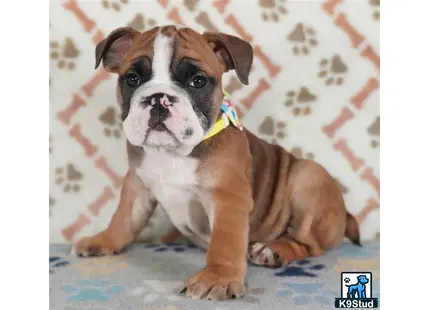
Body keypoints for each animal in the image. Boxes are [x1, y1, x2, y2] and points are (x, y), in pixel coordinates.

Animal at [72, 25, 362, 302]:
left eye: (198, 81)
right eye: (132, 79)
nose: (158, 98)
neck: (171, 153)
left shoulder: (228, 198)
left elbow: (225, 242)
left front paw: (217, 278)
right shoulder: (138, 185)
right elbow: (123, 218)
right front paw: (103, 240)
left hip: (308, 176)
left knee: (309, 244)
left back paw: (272, 250)